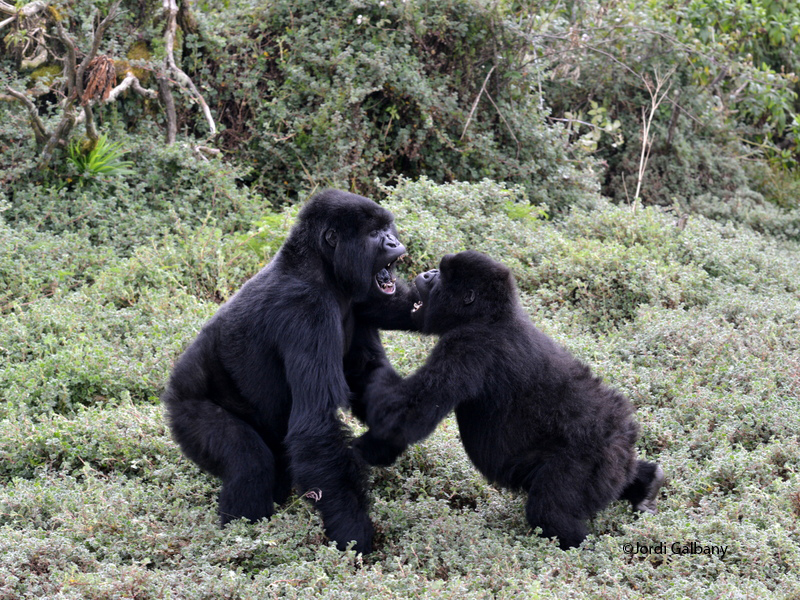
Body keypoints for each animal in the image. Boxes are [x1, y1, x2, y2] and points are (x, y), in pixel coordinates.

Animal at [162, 190, 418, 552]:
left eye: (387, 228)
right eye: (374, 234)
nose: (394, 242)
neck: (322, 267)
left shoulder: (362, 299)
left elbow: (366, 375)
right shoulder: (306, 310)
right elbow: (316, 424)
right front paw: (354, 533)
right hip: (186, 411)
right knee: (249, 463)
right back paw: (242, 539)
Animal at [354, 251, 664, 552]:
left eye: (441, 276)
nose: (428, 273)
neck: (489, 316)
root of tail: (624, 433)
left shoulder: (466, 346)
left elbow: (410, 414)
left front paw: (362, 441)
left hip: (590, 459)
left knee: (550, 513)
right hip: (611, 463)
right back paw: (647, 483)